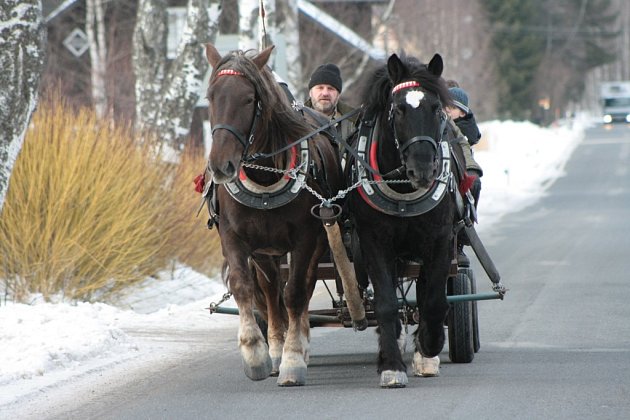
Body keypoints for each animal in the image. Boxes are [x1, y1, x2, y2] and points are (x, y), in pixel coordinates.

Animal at [205, 44, 346, 386]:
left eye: (248, 99)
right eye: (211, 96)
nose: (220, 166)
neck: (265, 176)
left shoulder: (306, 238)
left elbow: (295, 293)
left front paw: (294, 359)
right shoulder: (234, 237)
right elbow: (244, 286)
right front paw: (256, 353)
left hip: (317, 242)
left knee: (301, 288)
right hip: (265, 251)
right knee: (270, 293)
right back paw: (275, 347)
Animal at [346, 52, 464, 388]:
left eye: (436, 108)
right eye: (398, 110)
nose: (423, 169)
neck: (403, 189)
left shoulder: (439, 241)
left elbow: (434, 302)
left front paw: (428, 347)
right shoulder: (373, 242)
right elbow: (386, 303)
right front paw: (391, 365)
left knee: (425, 295)